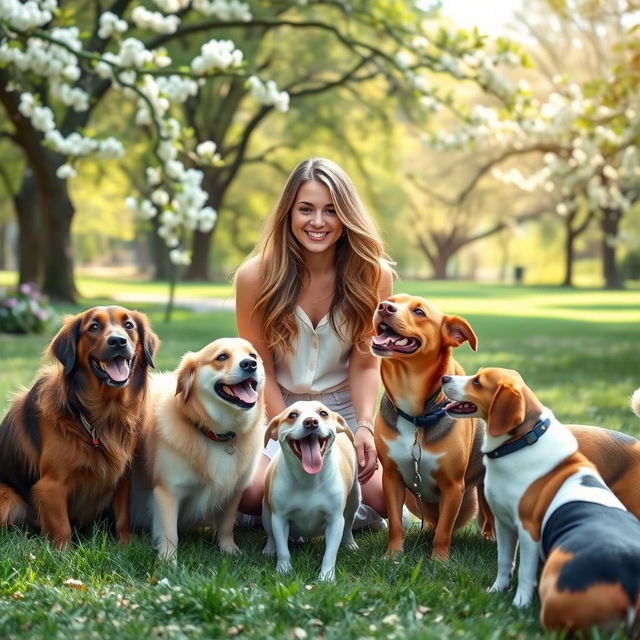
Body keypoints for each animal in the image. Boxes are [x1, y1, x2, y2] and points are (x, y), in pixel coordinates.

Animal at [0, 308, 159, 548]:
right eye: (93, 327)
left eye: (128, 325)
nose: (118, 341)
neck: (103, 416)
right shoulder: (50, 487)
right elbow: (62, 527)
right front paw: (62, 553)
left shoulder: (122, 479)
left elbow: (123, 518)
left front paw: (126, 545)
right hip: (9, 501)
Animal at [131, 338, 266, 564]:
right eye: (222, 357)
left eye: (253, 355)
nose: (250, 364)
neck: (217, 436)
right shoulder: (167, 492)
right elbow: (170, 533)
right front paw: (168, 561)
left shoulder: (234, 491)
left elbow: (226, 526)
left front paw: (229, 550)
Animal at [260, 402, 360, 584]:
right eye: (292, 415)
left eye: (323, 413)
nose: (311, 422)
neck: (308, 478)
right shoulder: (279, 518)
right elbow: (283, 549)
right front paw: (283, 570)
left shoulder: (335, 521)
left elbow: (330, 554)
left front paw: (326, 577)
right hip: (266, 510)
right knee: (271, 534)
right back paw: (269, 549)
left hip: (353, 501)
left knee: (348, 525)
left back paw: (349, 543)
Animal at [370, 296, 490, 560]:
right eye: (391, 301)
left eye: (419, 312)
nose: (384, 307)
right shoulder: (391, 478)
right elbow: (395, 524)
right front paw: (392, 555)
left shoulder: (453, 486)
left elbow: (444, 532)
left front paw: (439, 560)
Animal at [444, 364, 640, 636]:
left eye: (478, 382)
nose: (444, 378)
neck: (520, 443)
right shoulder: (504, 524)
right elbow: (504, 562)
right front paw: (497, 590)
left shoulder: (528, 531)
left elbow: (524, 572)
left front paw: (520, 603)